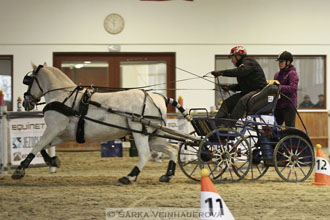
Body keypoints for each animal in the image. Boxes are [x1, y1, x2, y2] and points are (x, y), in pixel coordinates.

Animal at [11, 62, 189, 184]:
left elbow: (37, 146)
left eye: (28, 81)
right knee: (172, 149)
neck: (63, 96)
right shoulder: (62, 134)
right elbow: (44, 148)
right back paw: (168, 174)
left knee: (145, 154)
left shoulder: (54, 128)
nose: (26, 102)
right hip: (153, 136)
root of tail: (159, 97)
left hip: (139, 132)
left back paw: (130, 176)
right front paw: (52, 161)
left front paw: (20, 170)